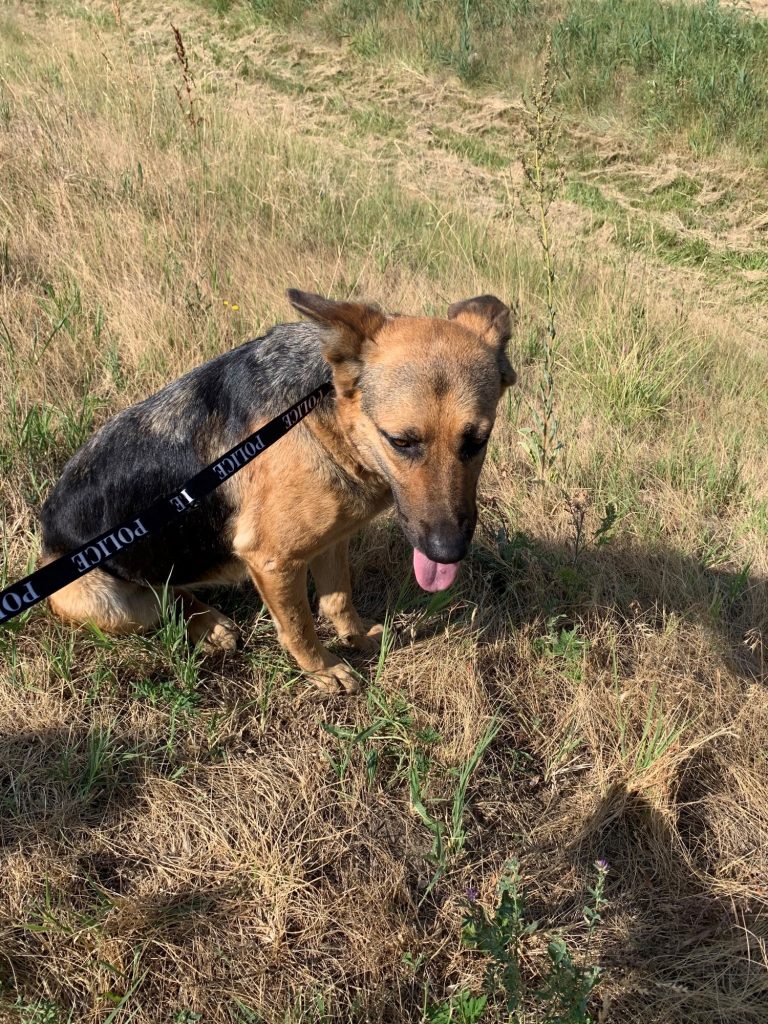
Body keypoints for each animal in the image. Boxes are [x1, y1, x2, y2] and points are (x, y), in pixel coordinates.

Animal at [40, 291, 516, 693]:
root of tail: (47, 539)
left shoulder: (331, 540)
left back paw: (209, 621)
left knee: (168, 588)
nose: (449, 553)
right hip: (113, 603)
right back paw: (205, 623)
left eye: (477, 441)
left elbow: (338, 599)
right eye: (401, 442)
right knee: (160, 599)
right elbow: (299, 626)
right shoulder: (273, 561)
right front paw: (324, 669)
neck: (327, 417)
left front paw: (356, 637)